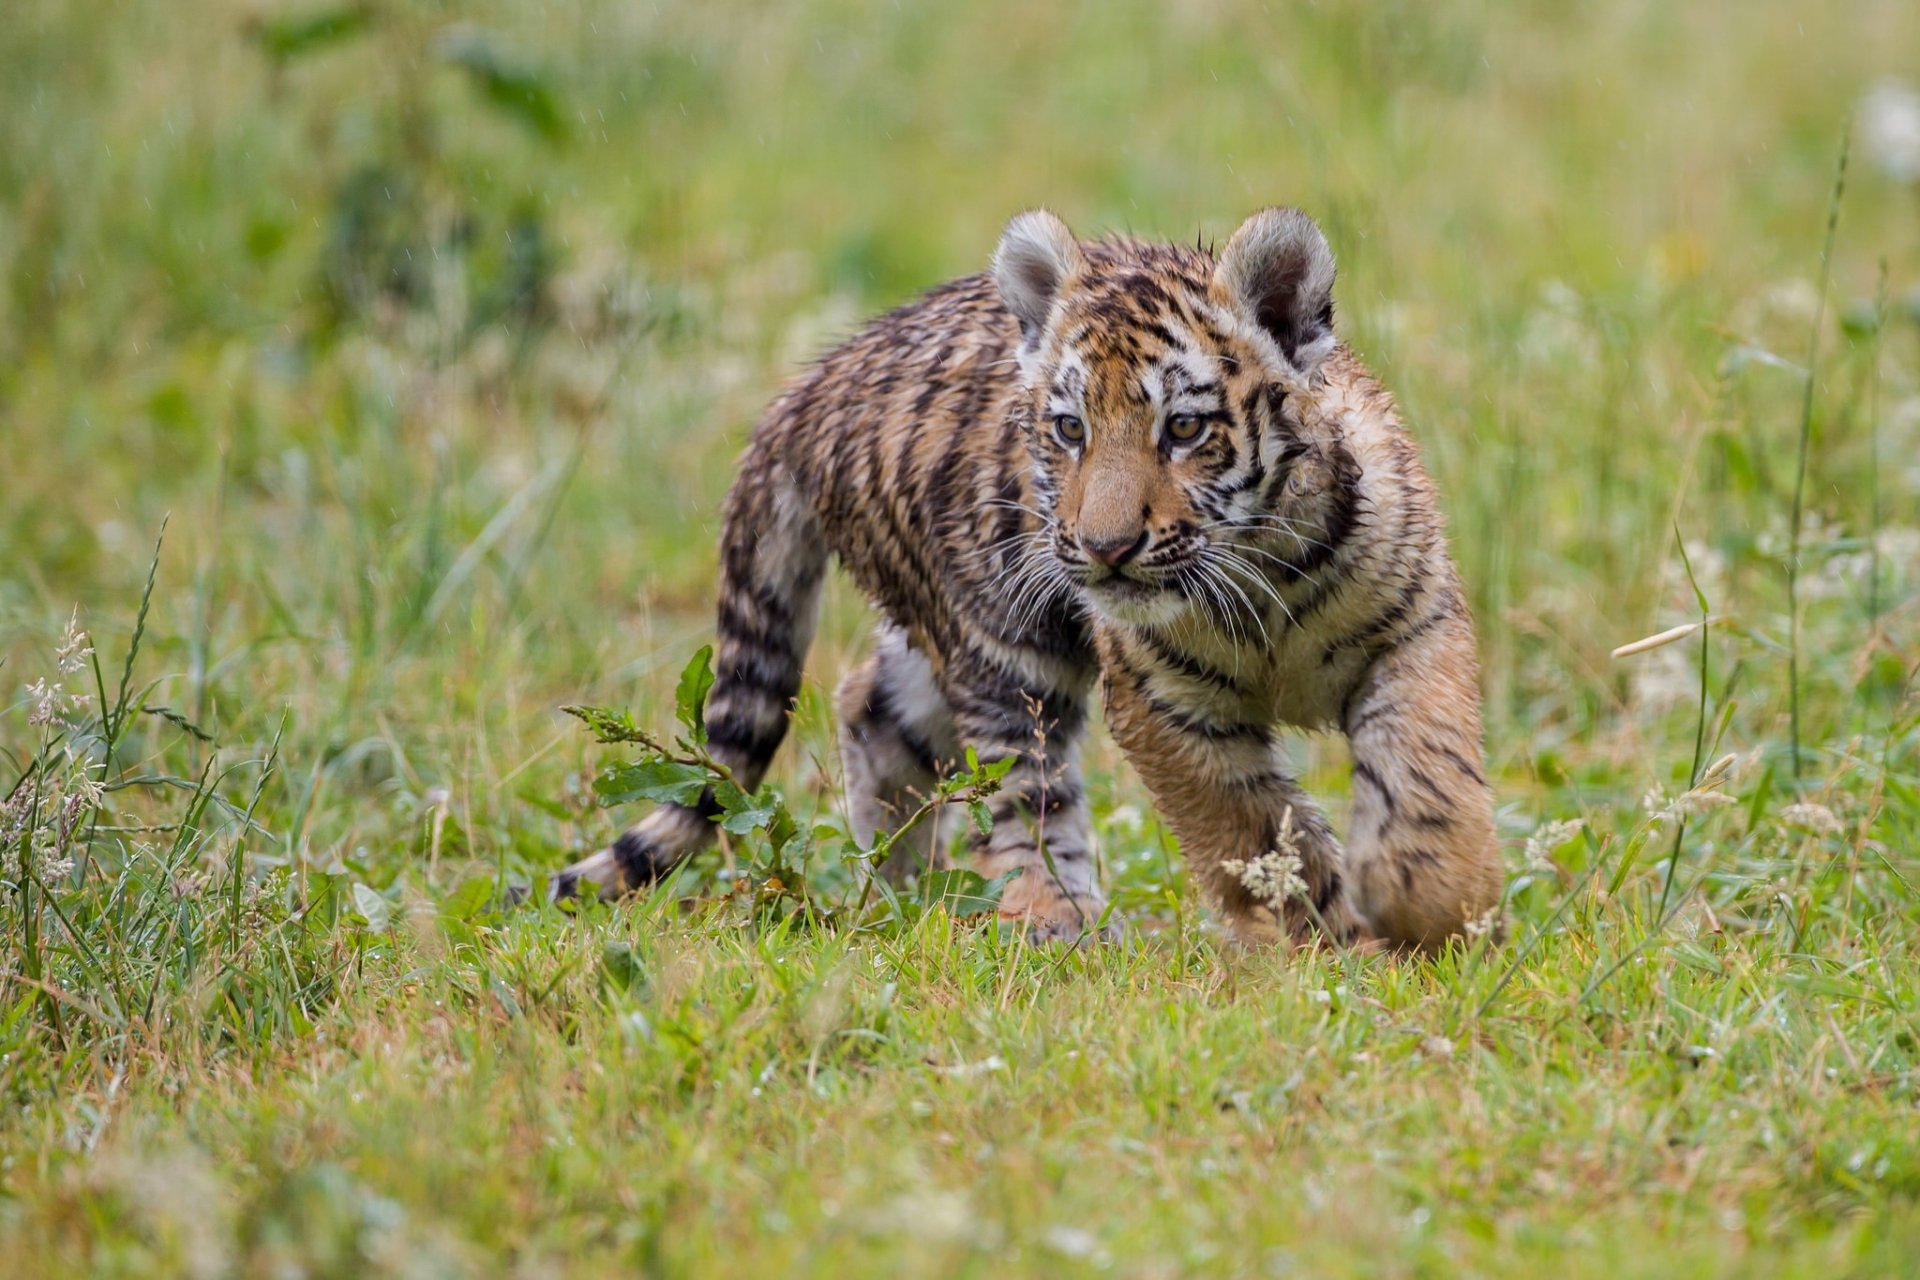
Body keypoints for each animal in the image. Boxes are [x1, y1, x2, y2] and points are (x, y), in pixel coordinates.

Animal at [552, 206, 1504, 949]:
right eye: (1071, 429)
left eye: (1185, 429)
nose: (1105, 546)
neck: (1265, 576)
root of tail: (811, 388)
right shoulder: (1164, 703)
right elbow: (1256, 830)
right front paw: (1328, 937)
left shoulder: (1413, 627)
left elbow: (1427, 765)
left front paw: (1428, 902)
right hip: (1002, 643)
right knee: (1018, 792)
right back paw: (1051, 920)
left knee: (871, 707)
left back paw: (905, 890)